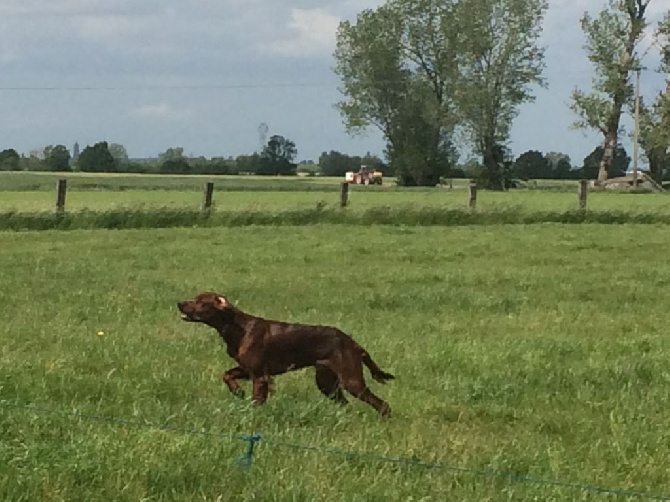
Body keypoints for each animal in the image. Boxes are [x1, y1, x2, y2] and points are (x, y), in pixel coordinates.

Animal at [178, 290, 396, 416]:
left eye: (200, 301)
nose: (179, 303)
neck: (236, 327)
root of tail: (353, 343)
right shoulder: (247, 369)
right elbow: (226, 375)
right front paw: (237, 391)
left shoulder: (259, 376)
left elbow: (256, 402)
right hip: (326, 382)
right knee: (347, 405)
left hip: (351, 380)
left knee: (383, 405)